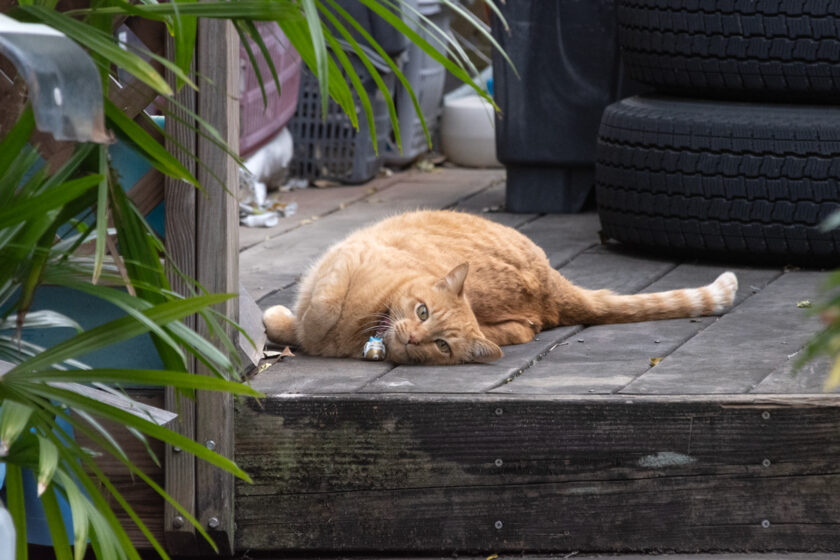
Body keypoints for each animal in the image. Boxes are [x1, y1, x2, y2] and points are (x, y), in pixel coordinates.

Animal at [260, 209, 736, 364]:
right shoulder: (346, 262)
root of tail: (552, 288)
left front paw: (292, 324)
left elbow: (313, 318)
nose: (412, 338)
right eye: (421, 311)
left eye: (441, 345)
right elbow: (315, 311)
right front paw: (289, 323)